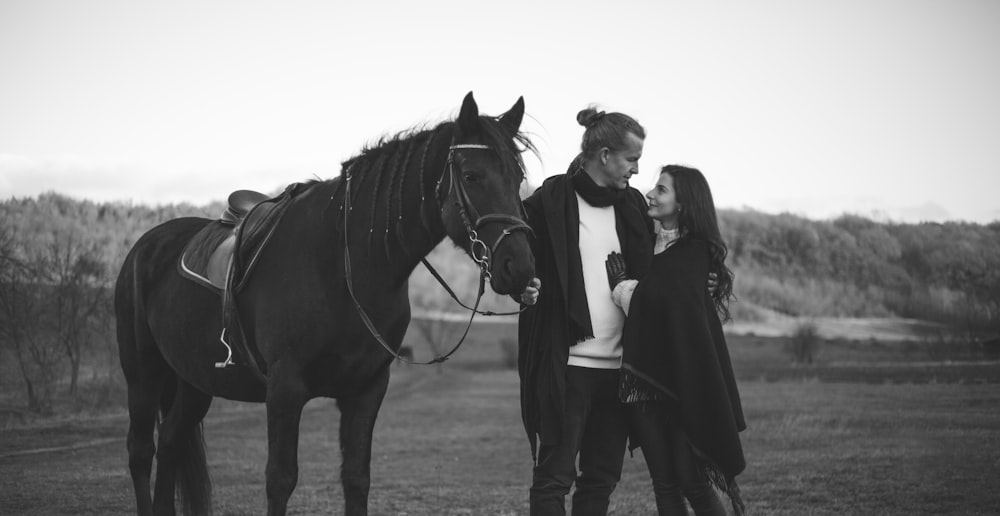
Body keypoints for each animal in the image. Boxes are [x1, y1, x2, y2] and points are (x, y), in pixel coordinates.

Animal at [115, 93, 540, 516]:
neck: (345, 264)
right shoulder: (285, 389)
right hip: (143, 375)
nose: (519, 267)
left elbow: (356, 478)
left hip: (193, 380)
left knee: (171, 442)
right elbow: (280, 479)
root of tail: (146, 245)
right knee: (141, 451)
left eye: (518, 178)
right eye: (471, 176)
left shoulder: (366, 390)